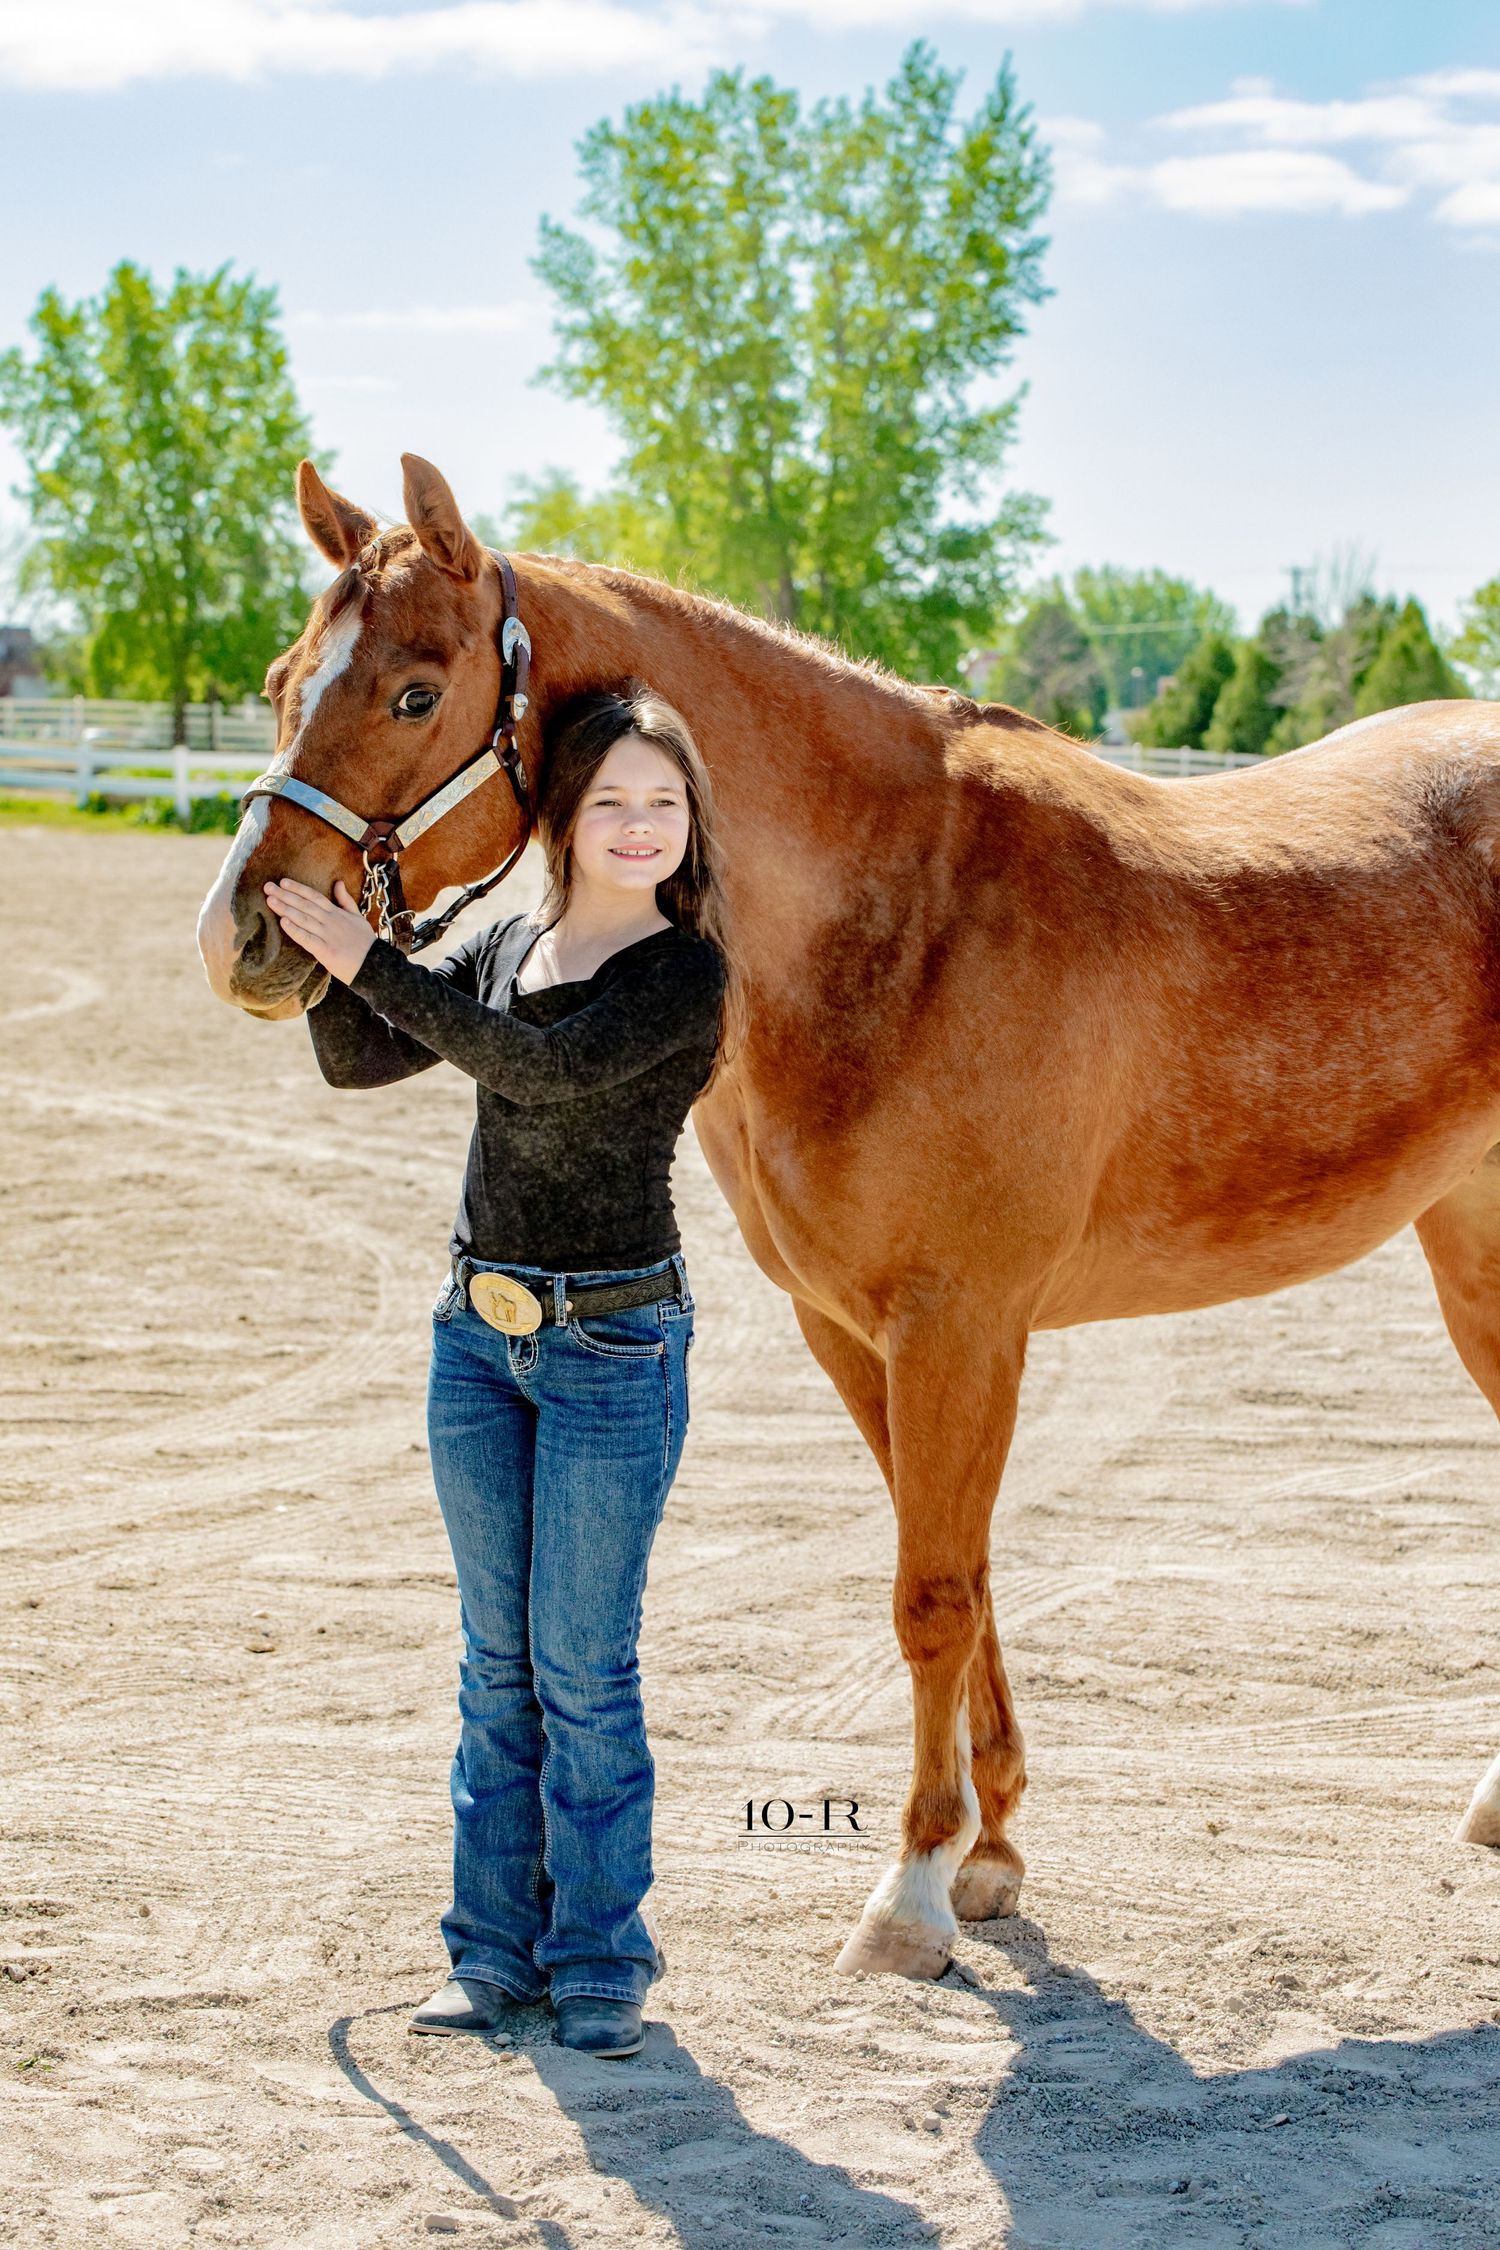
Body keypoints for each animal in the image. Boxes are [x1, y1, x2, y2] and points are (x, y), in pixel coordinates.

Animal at [198, 452, 1500, 1981]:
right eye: (281, 679)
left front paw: (914, 1889)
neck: (902, 917)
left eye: (412, 694)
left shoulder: (961, 1328)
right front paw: (992, 1853)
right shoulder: (853, 1328)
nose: (243, 933)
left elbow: (930, 1595)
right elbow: (963, 1574)